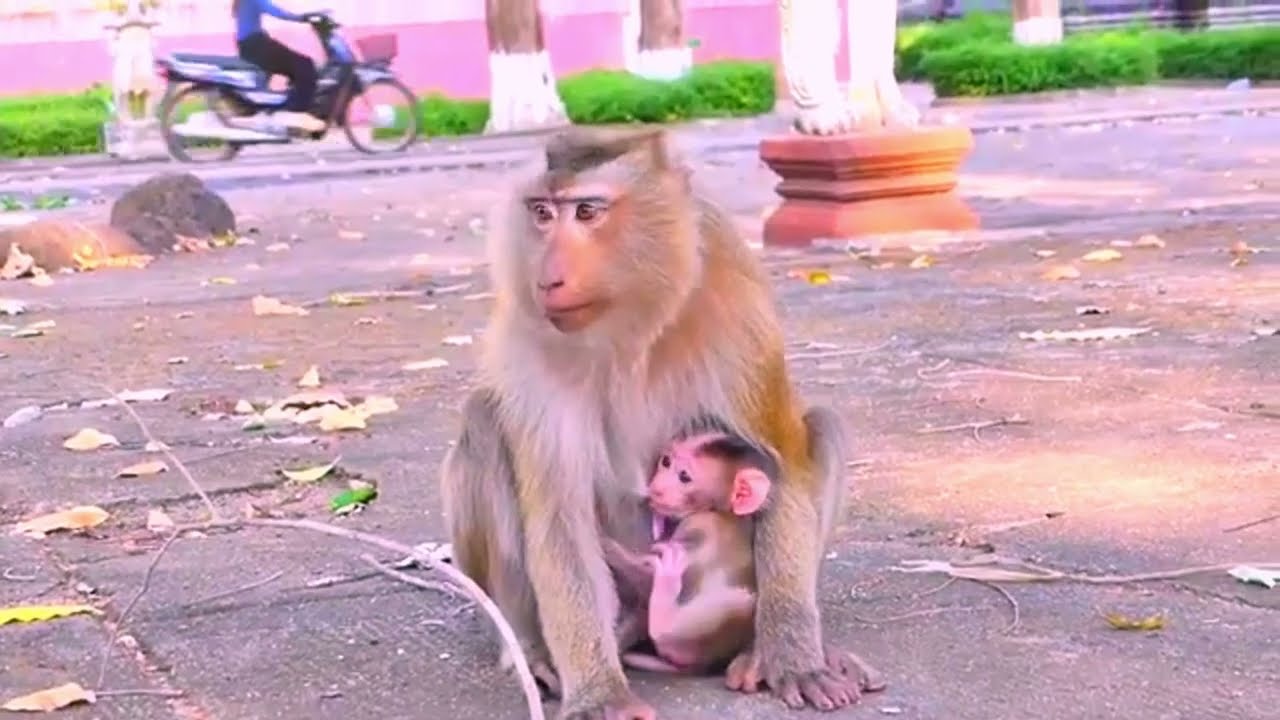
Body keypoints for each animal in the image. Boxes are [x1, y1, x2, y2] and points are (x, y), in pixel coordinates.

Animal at [440, 127, 885, 720]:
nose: (547, 277)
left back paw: (753, 648)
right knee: (485, 427)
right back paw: (532, 652)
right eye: (541, 212)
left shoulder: (735, 302)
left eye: (586, 211)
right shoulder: (527, 345)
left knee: (822, 427)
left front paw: (793, 656)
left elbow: (782, 462)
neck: (633, 323)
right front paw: (598, 692)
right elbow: (559, 515)